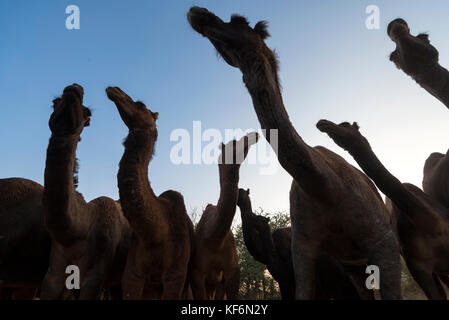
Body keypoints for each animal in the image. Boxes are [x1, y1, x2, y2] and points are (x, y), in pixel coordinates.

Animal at [187, 6, 400, 300]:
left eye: (238, 20)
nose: (199, 12)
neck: (325, 188)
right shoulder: (304, 249)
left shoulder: (384, 243)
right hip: (351, 267)